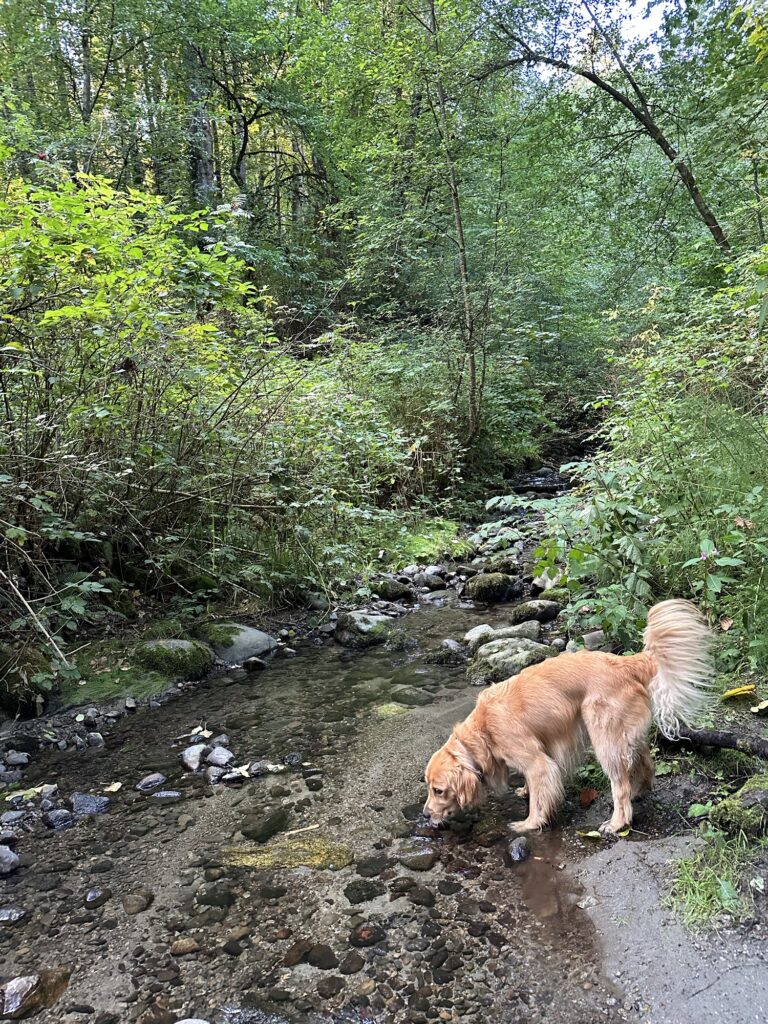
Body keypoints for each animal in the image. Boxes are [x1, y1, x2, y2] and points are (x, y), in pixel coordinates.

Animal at [423, 598, 712, 831]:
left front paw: (529, 823)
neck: (483, 731)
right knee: (645, 763)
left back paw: (617, 822)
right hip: (624, 736)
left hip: (605, 742)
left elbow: (539, 797)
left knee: (619, 787)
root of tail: (625, 662)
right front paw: (525, 790)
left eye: (439, 791)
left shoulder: (538, 763)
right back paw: (639, 792)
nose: (425, 815)